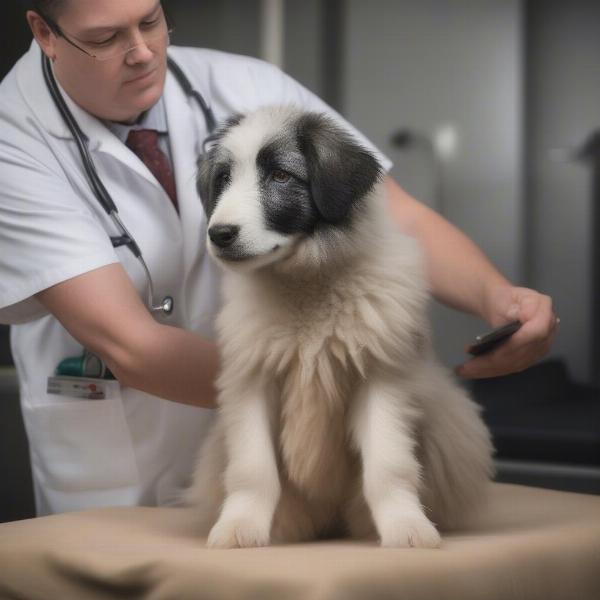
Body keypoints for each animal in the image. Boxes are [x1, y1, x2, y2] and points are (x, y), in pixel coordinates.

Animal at [185, 104, 494, 548]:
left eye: (280, 176)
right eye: (223, 179)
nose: (220, 234)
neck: (308, 285)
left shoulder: (380, 378)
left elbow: (387, 466)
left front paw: (405, 526)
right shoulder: (250, 381)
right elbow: (252, 468)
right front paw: (239, 527)